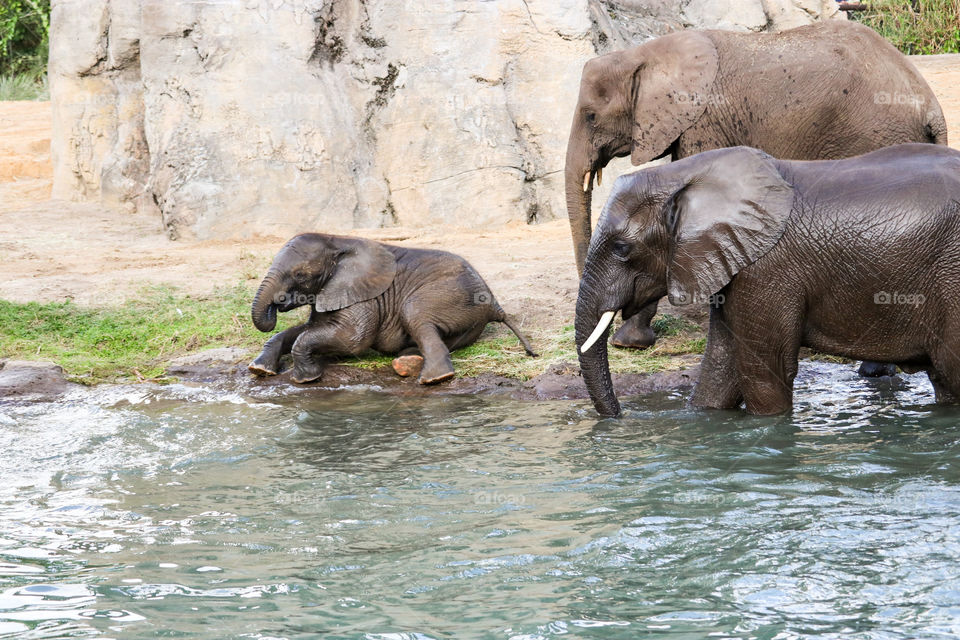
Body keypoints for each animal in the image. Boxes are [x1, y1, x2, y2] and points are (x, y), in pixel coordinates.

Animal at [249, 233, 536, 385]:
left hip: (451, 293)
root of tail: (494, 304)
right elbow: (305, 329)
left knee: (414, 313)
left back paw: (433, 378)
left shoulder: (365, 296)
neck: (336, 240)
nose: (278, 304)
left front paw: (305, 379)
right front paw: (259, 369)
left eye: (300, 274)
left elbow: (352, 339)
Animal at [564, 19, 948, 359]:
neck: (642, 53)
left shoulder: (705, 118)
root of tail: (931, 106)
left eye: (591, 117)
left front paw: (628, 342)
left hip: (874, 134)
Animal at [574, 143, 960, 417]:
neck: (684, 174)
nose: (620, 417)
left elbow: (765, 373)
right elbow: (720, 370)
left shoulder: (765, 270)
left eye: (622, 248)